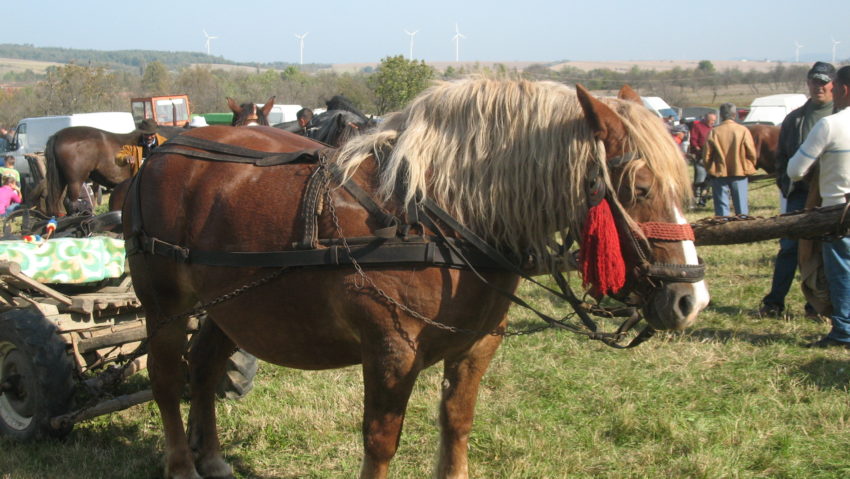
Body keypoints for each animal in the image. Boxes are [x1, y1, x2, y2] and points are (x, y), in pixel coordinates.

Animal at [124, 79, 708, 479]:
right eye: (639, 188)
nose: (691, 298)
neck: (435, 214)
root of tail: (162, 150)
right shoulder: (391, 349)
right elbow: (381, 440)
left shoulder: (478, 345)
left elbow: (457, 425)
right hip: (165, 306)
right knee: (167, 378)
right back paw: (182, 464)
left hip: (229, 305)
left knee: (203, 369)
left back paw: (212, 459)